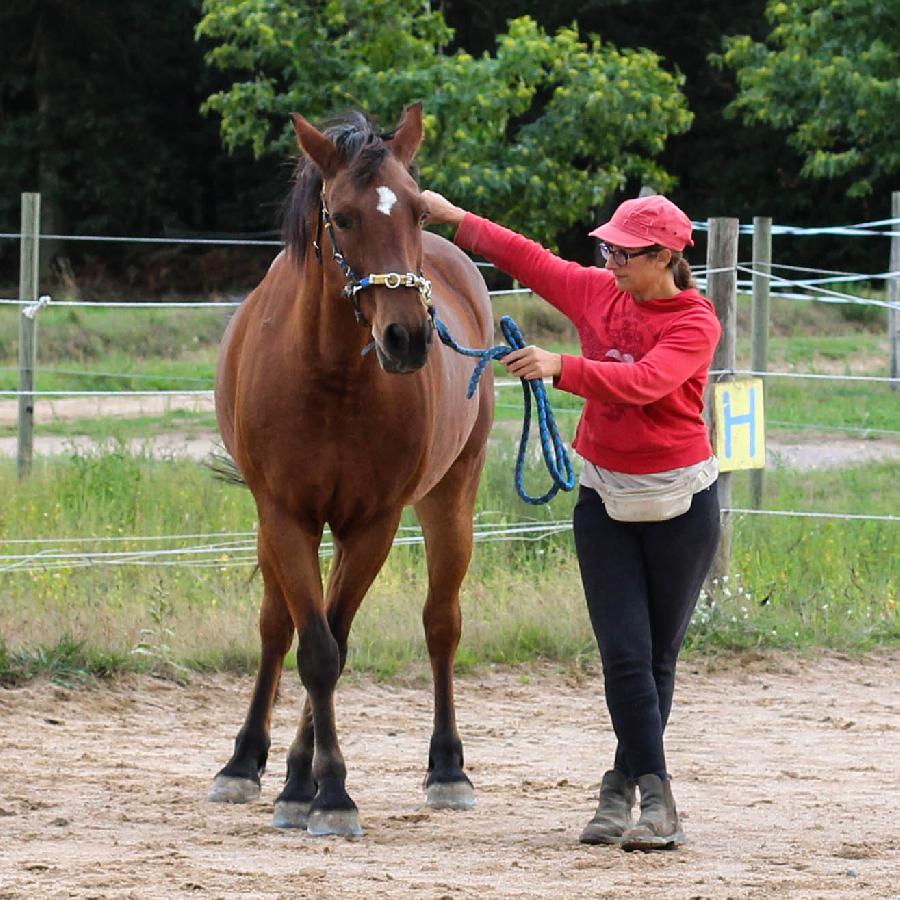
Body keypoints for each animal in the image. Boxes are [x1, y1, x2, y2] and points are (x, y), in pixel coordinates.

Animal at [208, 100, 496, 836]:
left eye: (418, 213)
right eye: (340, 217)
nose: (407, 337)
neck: (330, 374)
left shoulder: (373, 524)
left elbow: (332, 645)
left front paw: (323, 788)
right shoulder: (285, 516)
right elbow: (311, 645)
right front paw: (308, 786)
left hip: (451, 498)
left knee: (440, 623)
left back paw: (446, 769)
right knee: (278, 627)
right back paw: (248, 763)